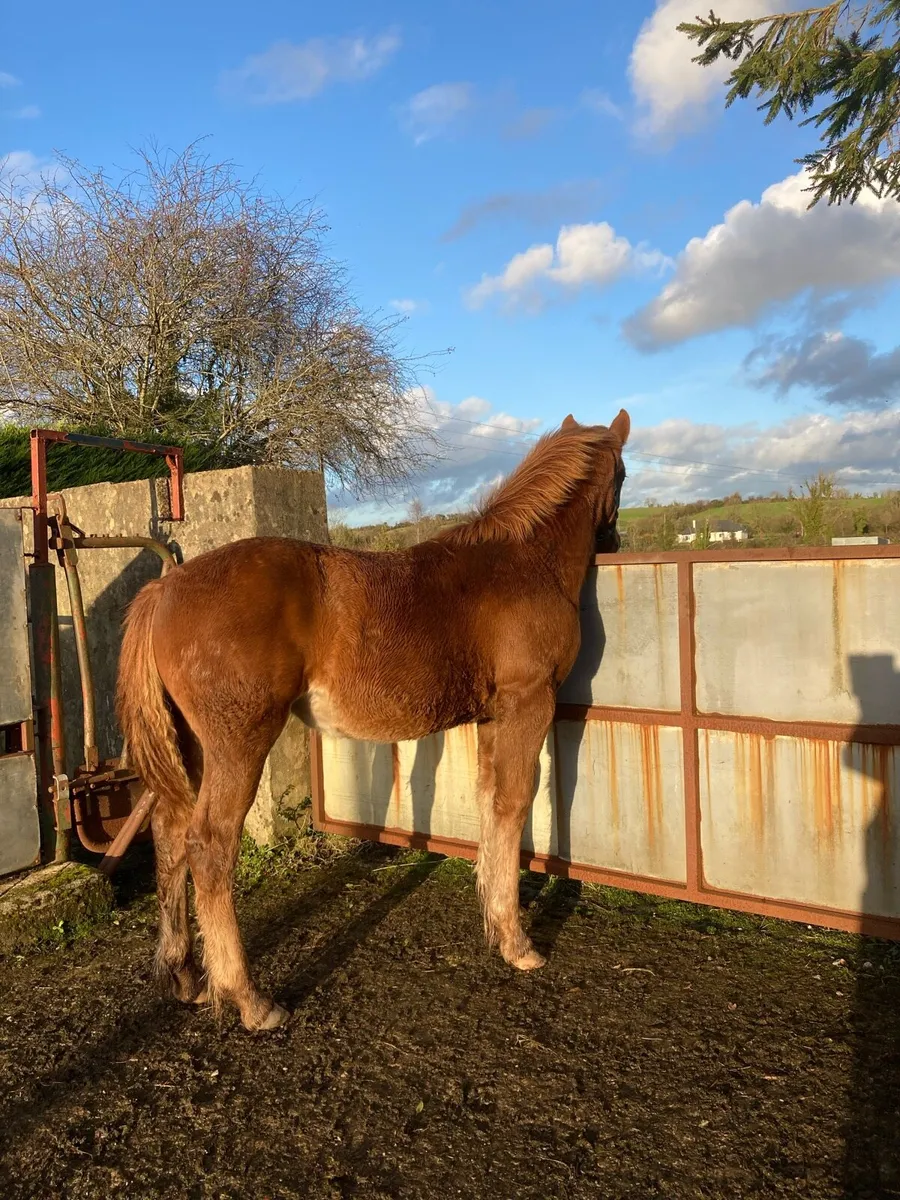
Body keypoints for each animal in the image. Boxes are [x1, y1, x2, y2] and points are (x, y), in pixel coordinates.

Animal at [116, 409, 630, 1030]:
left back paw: (184, 977)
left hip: (190, 746)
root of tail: (164, 586)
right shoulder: (528, 705)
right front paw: (516, 942)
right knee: (208, 846)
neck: (520, 562)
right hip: (238, 745)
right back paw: (249, 999)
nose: (617, 540)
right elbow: (512, 804)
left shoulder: (493, 719)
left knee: (169, 835)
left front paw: (492, 914)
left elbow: (488, 803)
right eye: (624, 476)